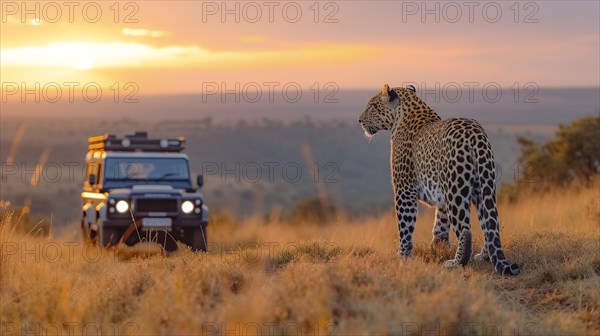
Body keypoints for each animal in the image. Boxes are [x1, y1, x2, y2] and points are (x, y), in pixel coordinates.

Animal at [360, 84, 520, 276]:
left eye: (372, 106)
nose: (359, 120)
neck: (401, 115)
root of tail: (475, 134)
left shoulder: (404, 190)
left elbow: (405, 225)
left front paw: (402, 255)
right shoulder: (440, 194)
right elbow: (440, 223)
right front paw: (438, 246)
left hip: (456, 190)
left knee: (465, 229)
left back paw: (456, 262)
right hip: (483, 185)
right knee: (491, 224)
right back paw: (484, 256)